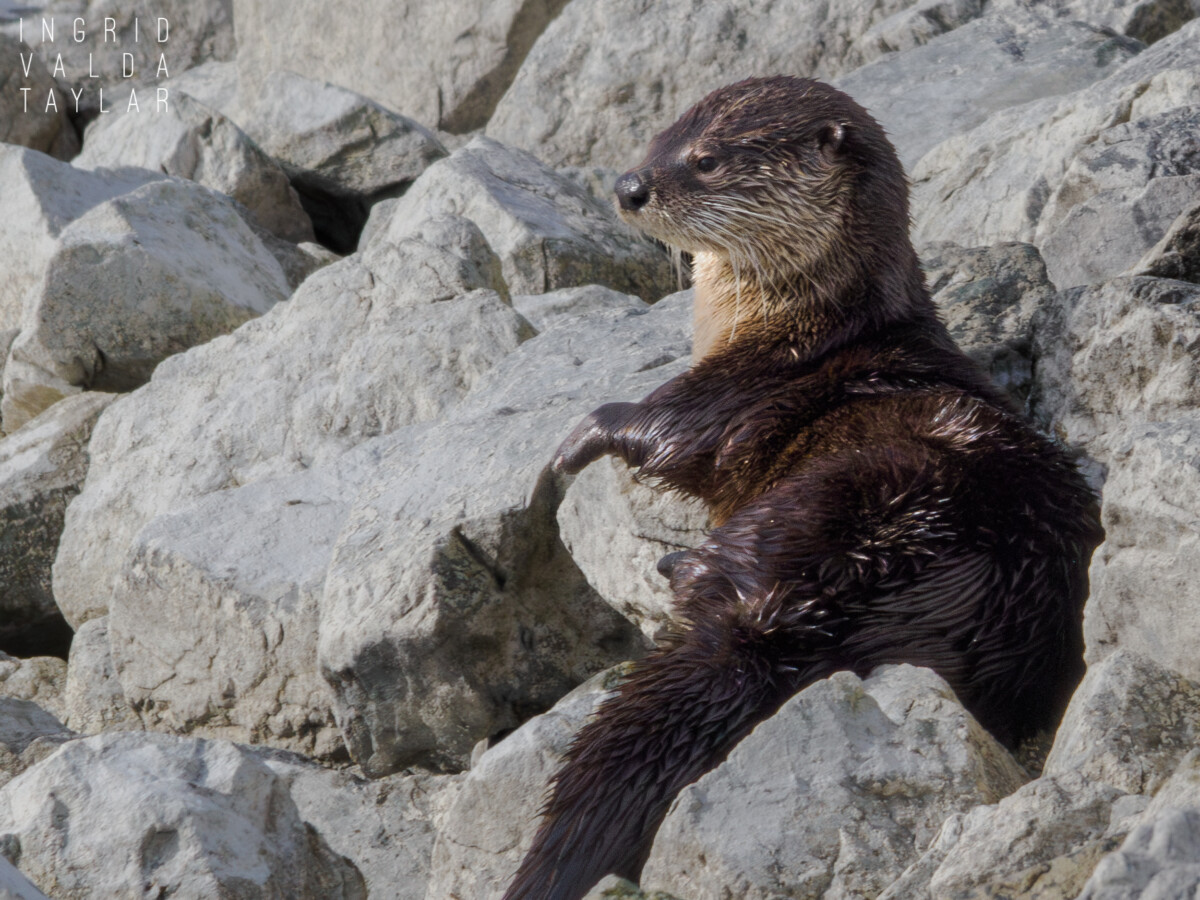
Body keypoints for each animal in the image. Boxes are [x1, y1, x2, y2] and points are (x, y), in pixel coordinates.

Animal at [502, 76, 1101, 900]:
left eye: (706, 159)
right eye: (654, 138)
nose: (629, 186)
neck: (802, 326)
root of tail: (812, 608)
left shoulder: (726, 395)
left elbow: (662, 437)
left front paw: (573, 443)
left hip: (853, 492)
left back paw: (679, 568)